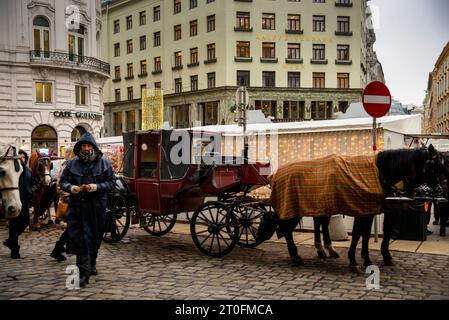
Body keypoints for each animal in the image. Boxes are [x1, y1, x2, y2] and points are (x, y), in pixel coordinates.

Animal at [258, 146, 440, 268]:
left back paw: (322, 250)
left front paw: (368, 258)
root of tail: (275, 174)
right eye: (435, 165)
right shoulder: (364, 210)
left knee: (312, 224)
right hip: (293, 208)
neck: (379, 174)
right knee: (287, 230)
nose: (439, 189)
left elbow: (366, 234)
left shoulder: (369, 210)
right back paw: (296, 256)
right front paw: (356, 259)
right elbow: (360, 234)